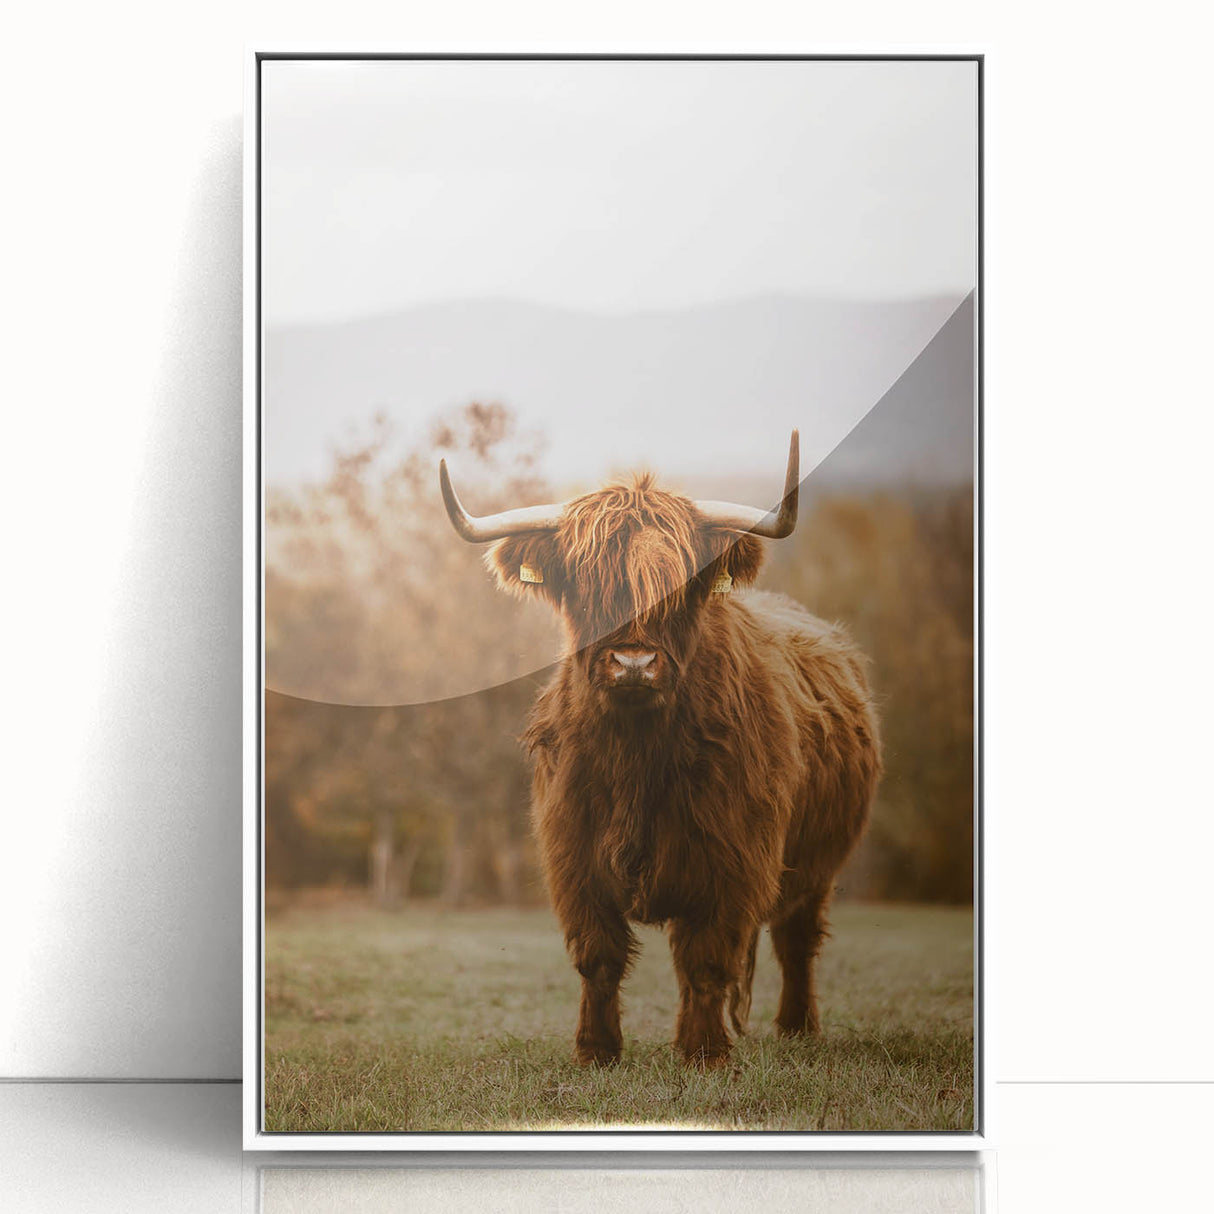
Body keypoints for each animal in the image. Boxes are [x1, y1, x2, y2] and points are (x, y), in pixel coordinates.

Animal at [438, 431, 881, 1068]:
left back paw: (798, 1029)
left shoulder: (732, 858)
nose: (633, 663)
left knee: (795, 938)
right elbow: (598, 957)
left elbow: (708, 958)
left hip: (817, 861)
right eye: (585, 584)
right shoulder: (574, 856)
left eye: (683, 585)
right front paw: (596, 1051)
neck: (636, 755)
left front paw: (704, 1053)